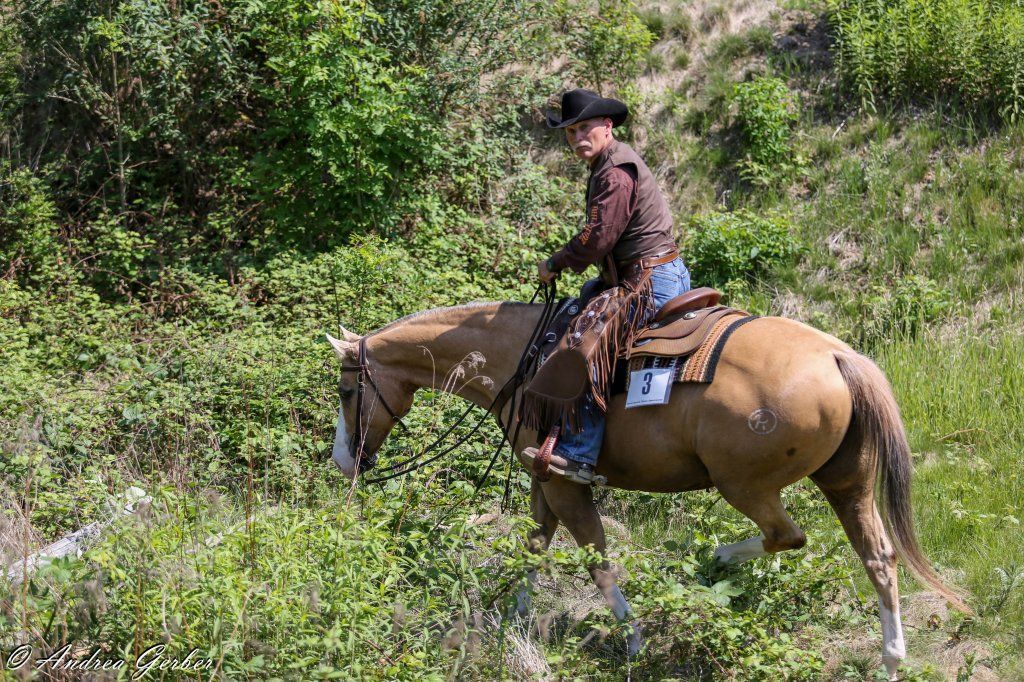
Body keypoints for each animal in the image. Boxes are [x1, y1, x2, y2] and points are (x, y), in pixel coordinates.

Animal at [325, 300, 969, 679]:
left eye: (348, 392)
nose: (342, 461)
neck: (526, 360)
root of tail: (838, 356)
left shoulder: (565, 483)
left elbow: (594, 557)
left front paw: (632, 638)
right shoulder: (544, 477)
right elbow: (534, 546)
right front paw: (513, 621)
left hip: (745, 483)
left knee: (786, 535)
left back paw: (715, 560)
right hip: (846, 481)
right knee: (877, 556)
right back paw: (891, 657)